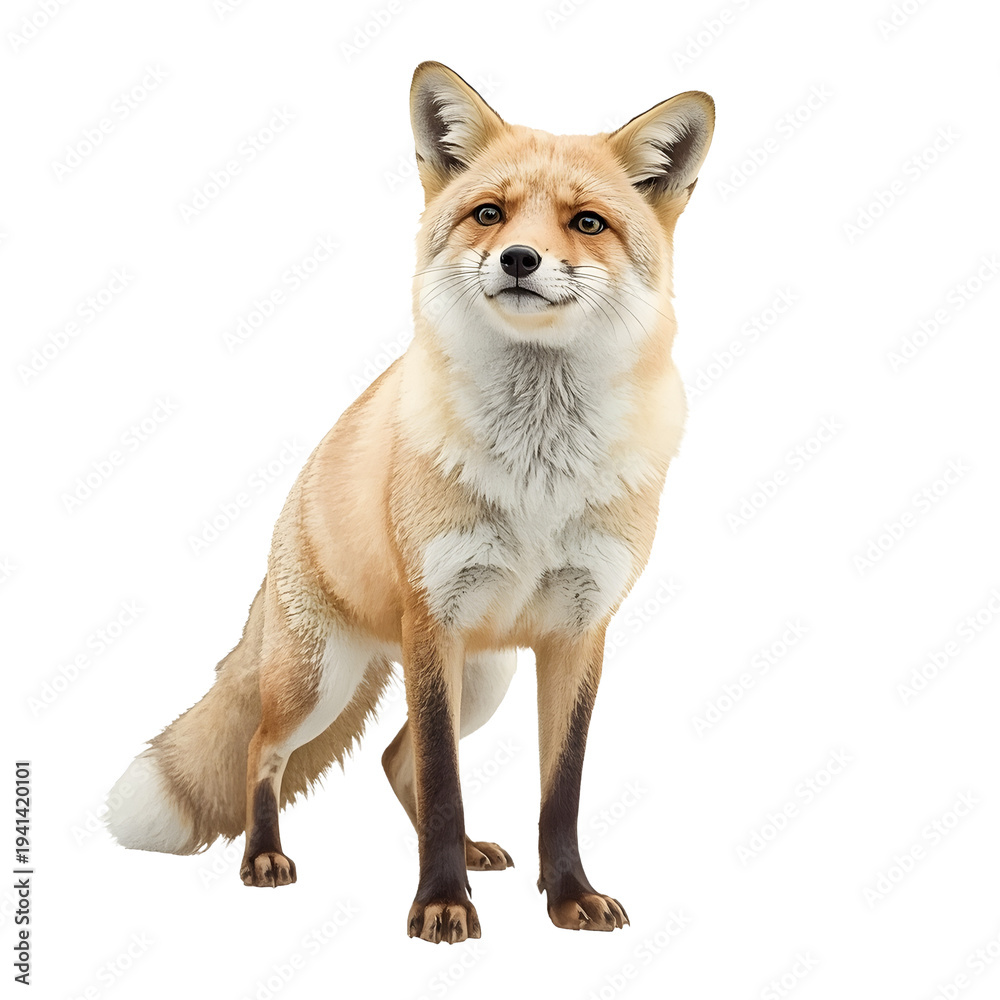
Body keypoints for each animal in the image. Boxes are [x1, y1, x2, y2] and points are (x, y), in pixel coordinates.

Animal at [106, 61, 714, 944]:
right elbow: (442, 780)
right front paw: (440, 904)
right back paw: (265, 857)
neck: (538, 472)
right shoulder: (436, 621)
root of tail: (294, 499)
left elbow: (557, 791)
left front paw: (567, 896)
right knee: (266, 748)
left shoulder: (579, 631)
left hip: (485, 678)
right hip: (321, 681)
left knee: (394, 761)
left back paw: (474, 852)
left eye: (587, 222)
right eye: (489, 213)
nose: (521, 258)